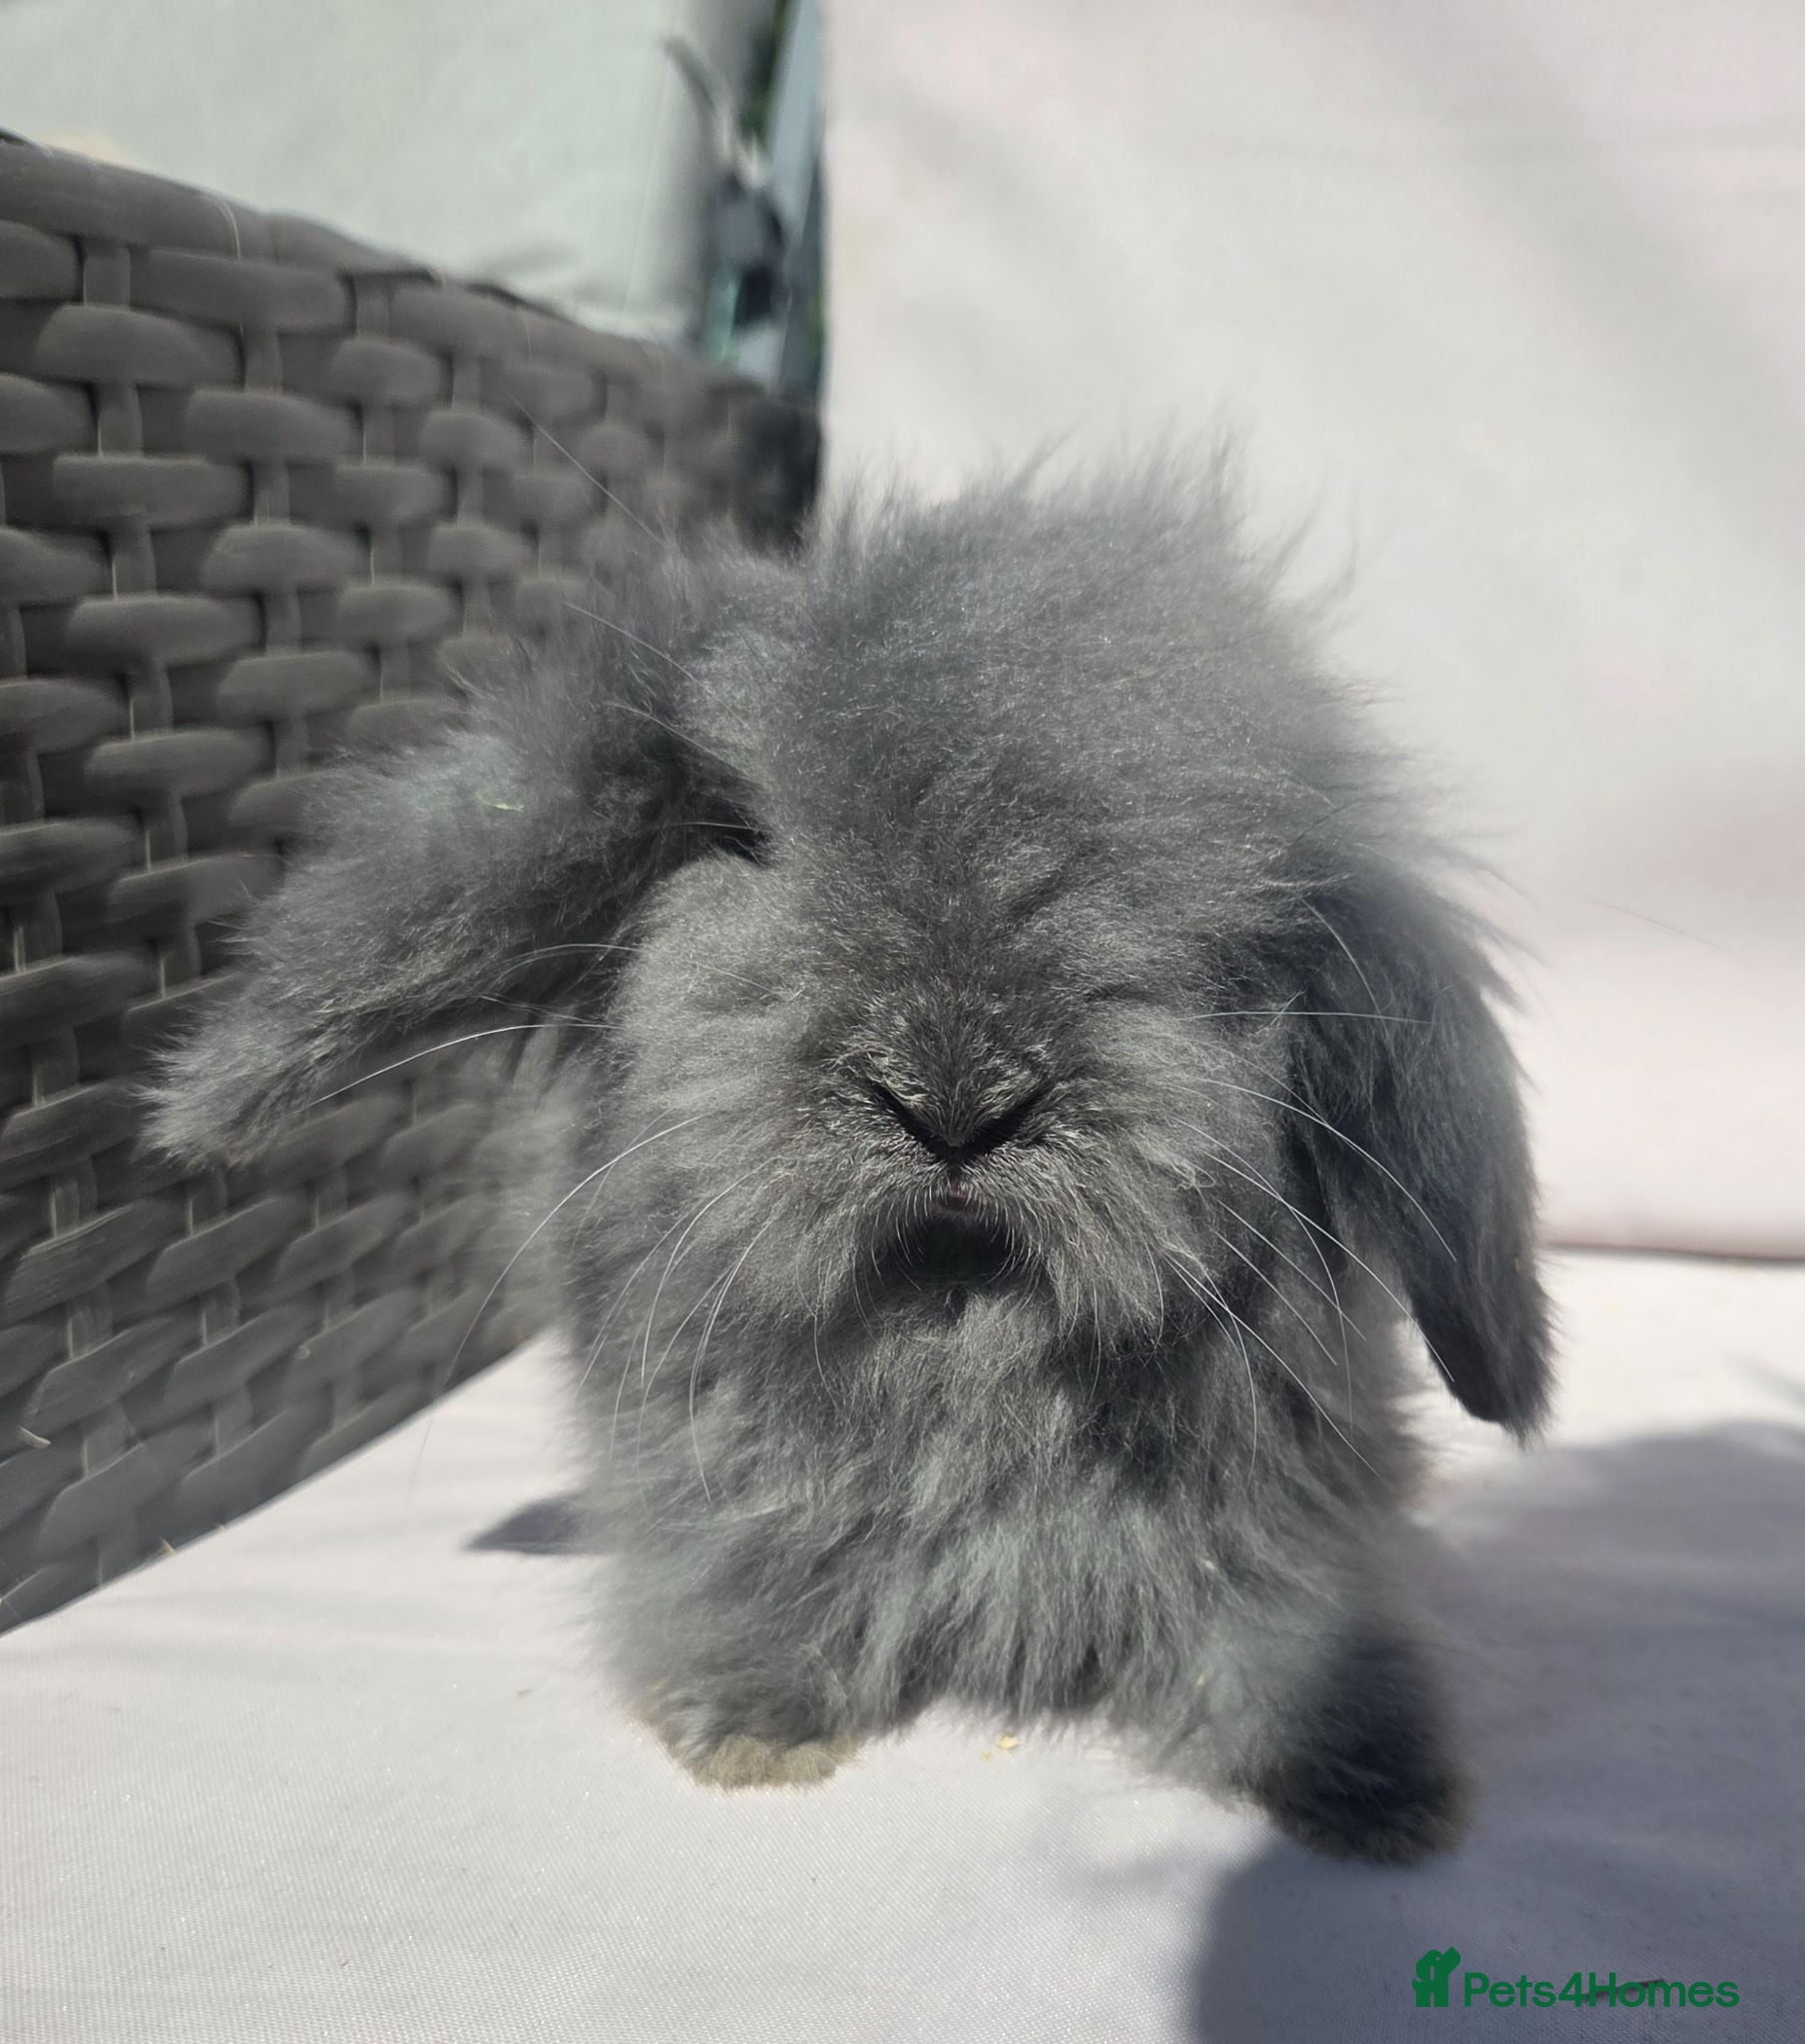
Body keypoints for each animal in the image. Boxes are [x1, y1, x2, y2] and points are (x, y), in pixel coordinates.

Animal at [149, 461, 1551, 1865]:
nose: (957, 1100)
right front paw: (749, 1728)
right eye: (743, 834)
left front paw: (1382, 1783)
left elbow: (1277, 1647)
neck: (958, 1344)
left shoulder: (1270, 1539)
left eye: (1222, 890)